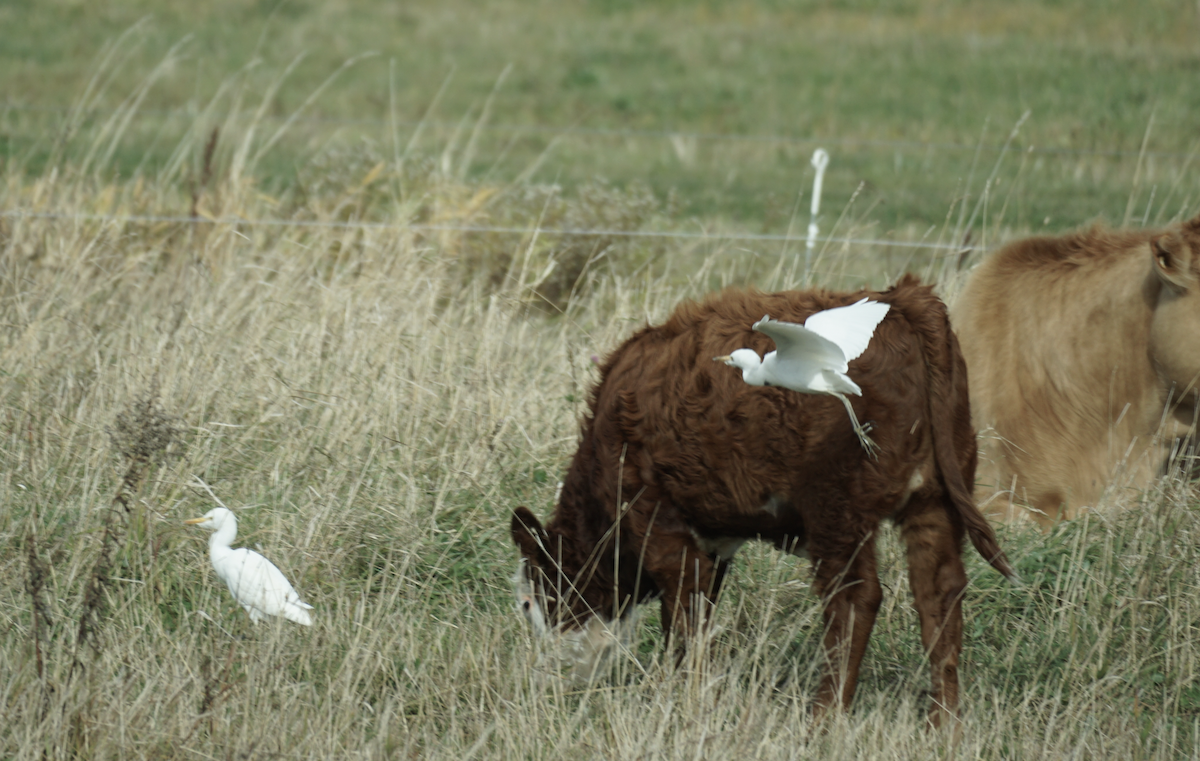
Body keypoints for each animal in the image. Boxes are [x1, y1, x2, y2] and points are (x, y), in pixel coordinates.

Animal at [510, 275, 1015, 726]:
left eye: (530, 603)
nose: (540, 681)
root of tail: (906, 298)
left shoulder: (655, 522)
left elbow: (682, 619)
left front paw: (678, 697)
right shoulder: (713, 540)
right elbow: (698, 614)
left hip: (836, 509)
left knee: (855, 599)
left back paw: (823, 716)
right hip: (934, 502)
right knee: (939, 596)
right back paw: (942, 723)